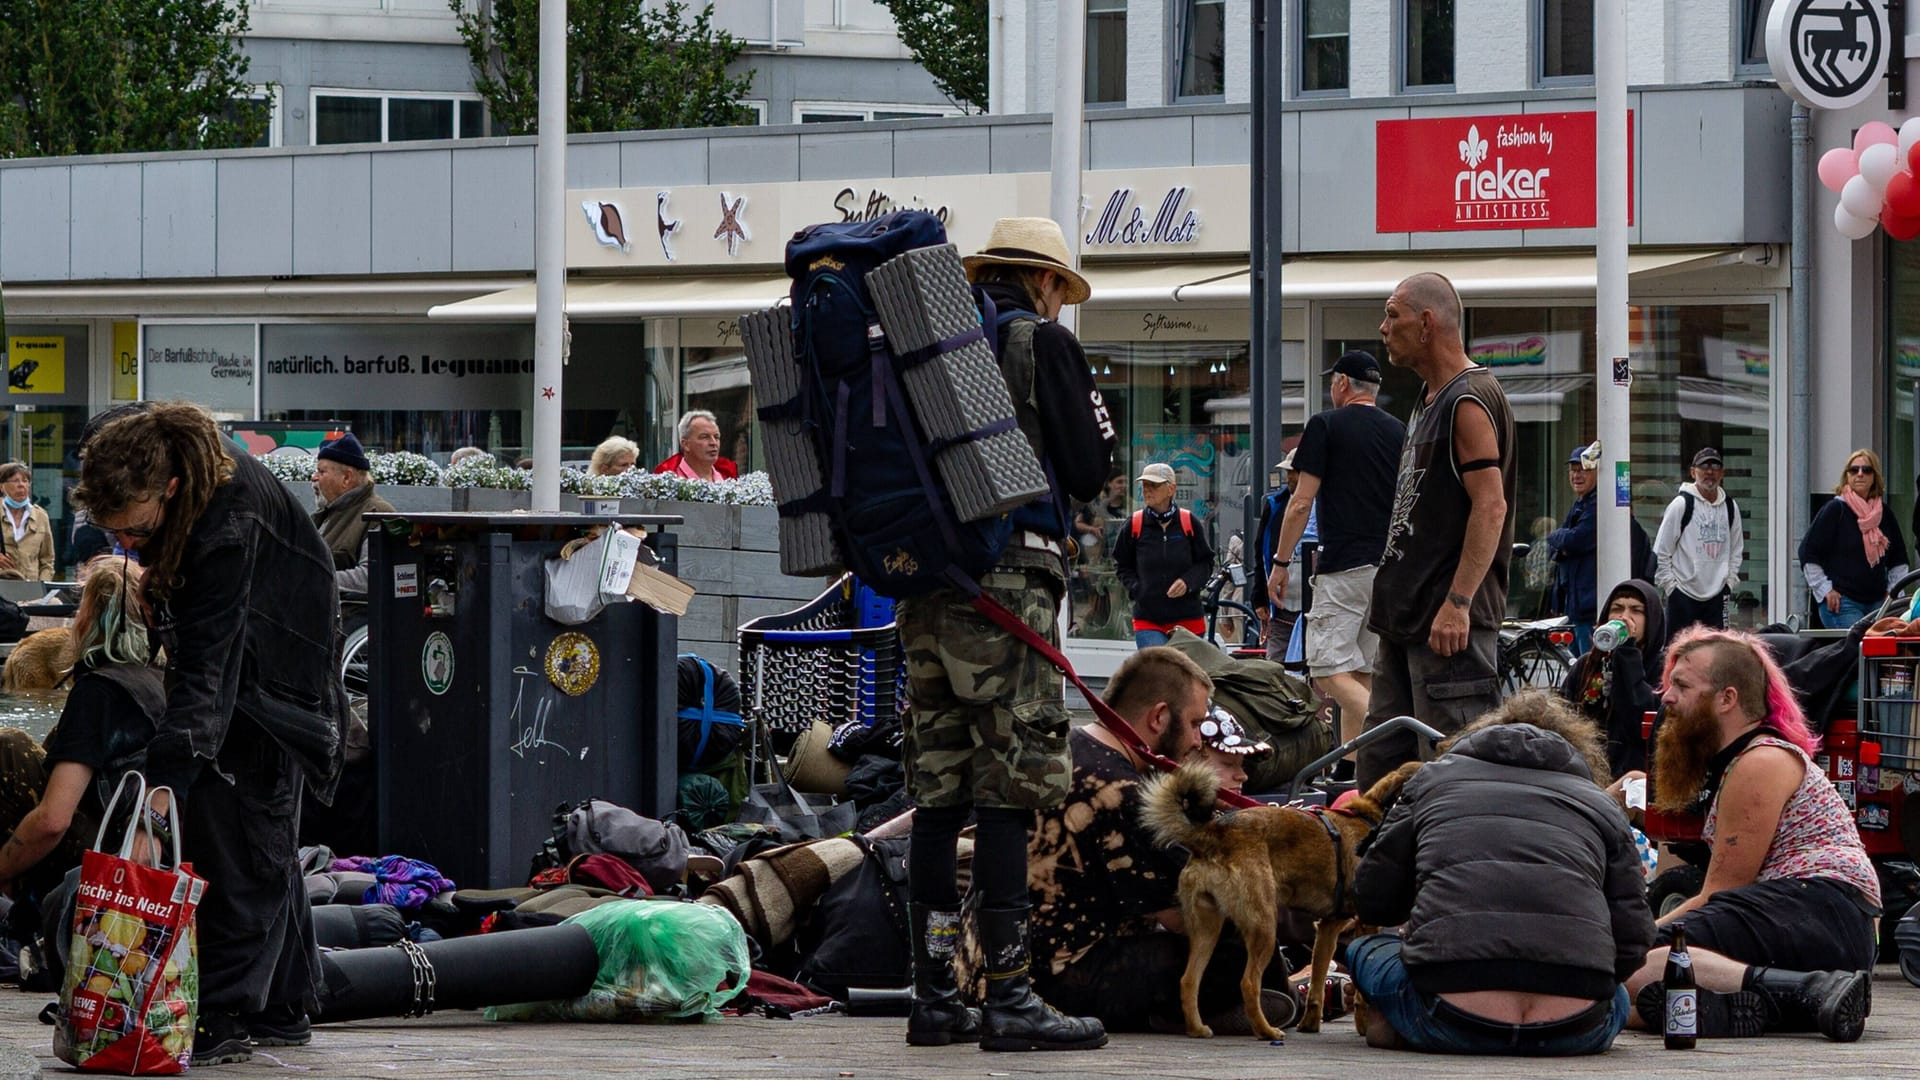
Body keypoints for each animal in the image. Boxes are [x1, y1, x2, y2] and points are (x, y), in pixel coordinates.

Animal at [1136, 757, 1428, 1037]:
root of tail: (1212, 833)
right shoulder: (1364, 924)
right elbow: (1359, 993)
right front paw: (1363, 1025)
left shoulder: (1328, 928)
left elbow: (1317, 982)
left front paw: (1310, 1024)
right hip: (1264, 925)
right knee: (1249, 983)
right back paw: (1265, 1031)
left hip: (1207, 927)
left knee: (1188, 981)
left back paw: (1197, 1029)